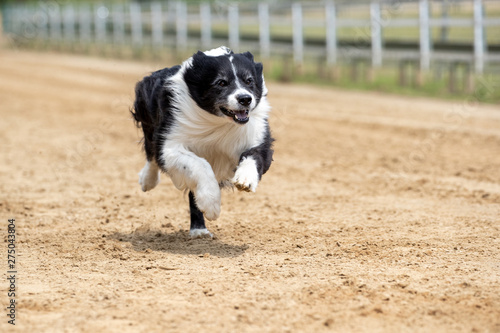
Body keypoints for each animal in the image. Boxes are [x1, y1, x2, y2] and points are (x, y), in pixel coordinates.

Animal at [132, 46, 274, 237]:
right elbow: (199, 165)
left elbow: (255, 155)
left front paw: (245, 179)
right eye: (221, 82)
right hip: (148, 117)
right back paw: (148, 181)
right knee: (151, 152)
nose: (245, 99)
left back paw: (199, 229)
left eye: (249, 80)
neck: (219, 122)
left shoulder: (257, 135)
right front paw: (211, 205)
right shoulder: (171, 144)